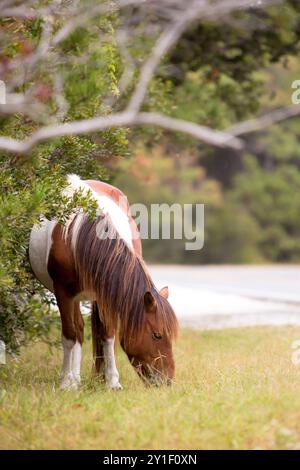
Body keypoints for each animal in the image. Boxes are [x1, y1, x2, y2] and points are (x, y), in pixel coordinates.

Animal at [28, 173, 178, 390]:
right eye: (157, 335)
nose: (167, 381)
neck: (80, 240)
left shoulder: (105, 293)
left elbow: (107, 335)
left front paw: (112, 382)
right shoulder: (63, 293)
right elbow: (69, 335)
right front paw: (65, 382)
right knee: (77, 331)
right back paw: (74, 379)